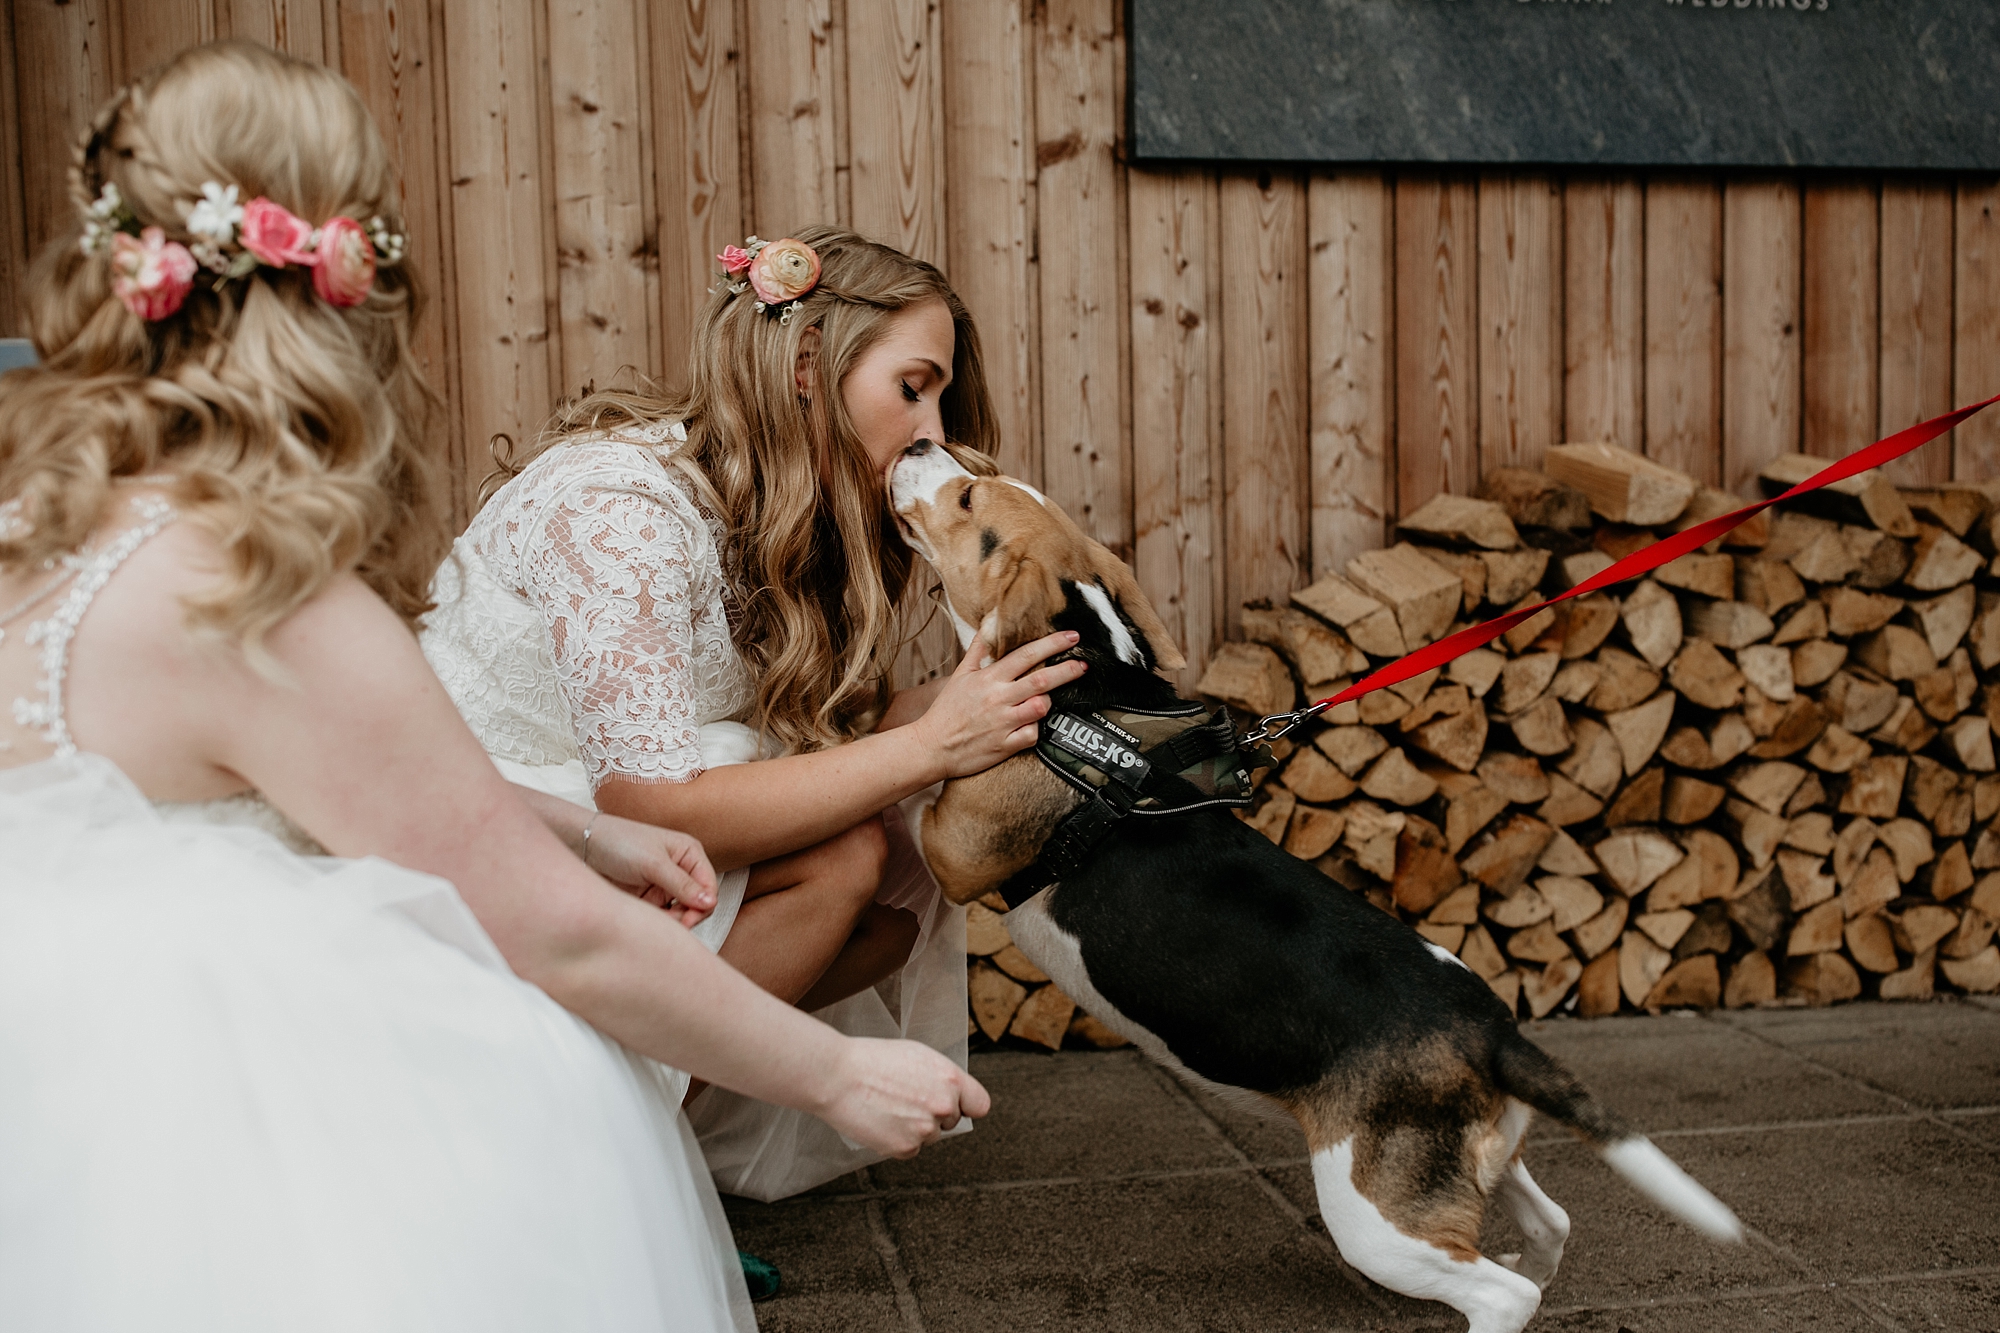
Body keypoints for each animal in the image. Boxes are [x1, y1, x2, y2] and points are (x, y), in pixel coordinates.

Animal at [888, 440, 1736, 1328]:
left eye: (968, 497)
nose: (919, 445)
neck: (1092, 683)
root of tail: (1490, 1029)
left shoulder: (953, 845)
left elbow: (907, 792)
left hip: (1371, 1216)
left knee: (1506, 1292)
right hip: (1475, 1161)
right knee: (1550, 1224)